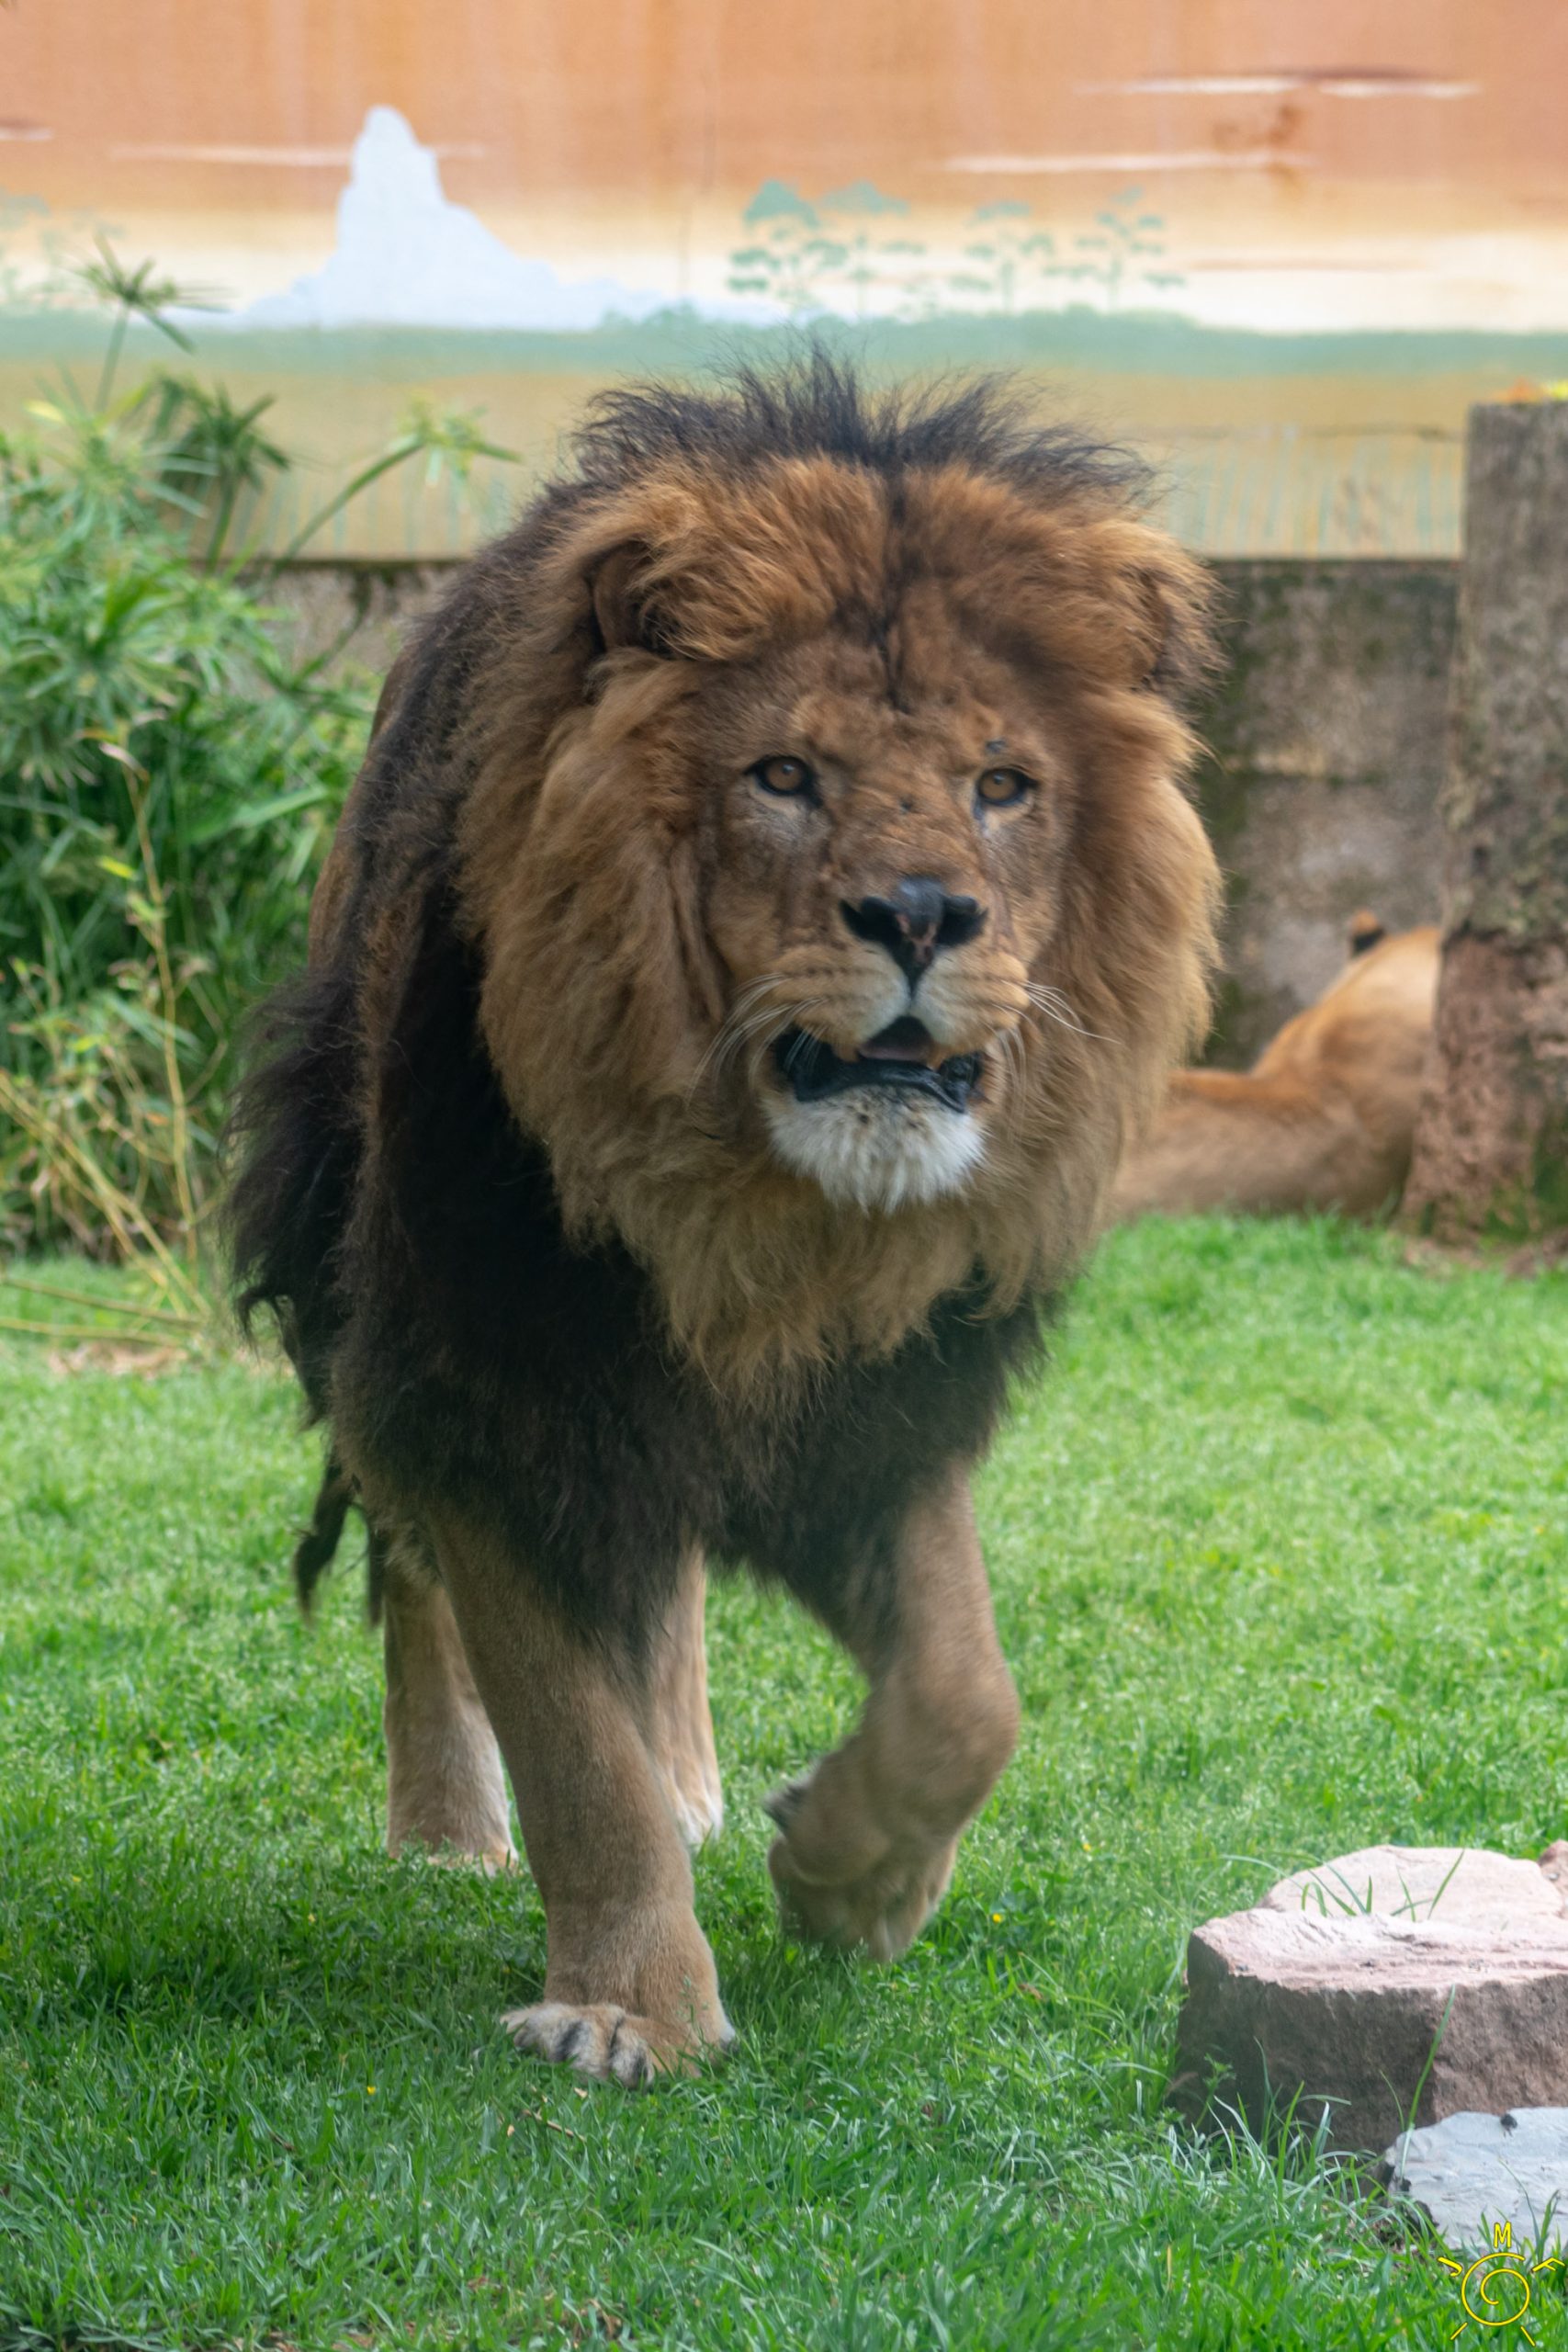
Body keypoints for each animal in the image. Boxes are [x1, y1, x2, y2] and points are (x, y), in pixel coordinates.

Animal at [231, 359, 1220, 2087]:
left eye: (1001, 786)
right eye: (783, 778)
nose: (918, 915)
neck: (767, 1221)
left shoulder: (879, 1406)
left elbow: (969, 1692)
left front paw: (849, 1879)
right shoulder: (493, 1386)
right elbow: (569, 1743)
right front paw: (634, 2009)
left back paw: (694, 1777)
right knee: (418, 1573)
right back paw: (446, 1827)